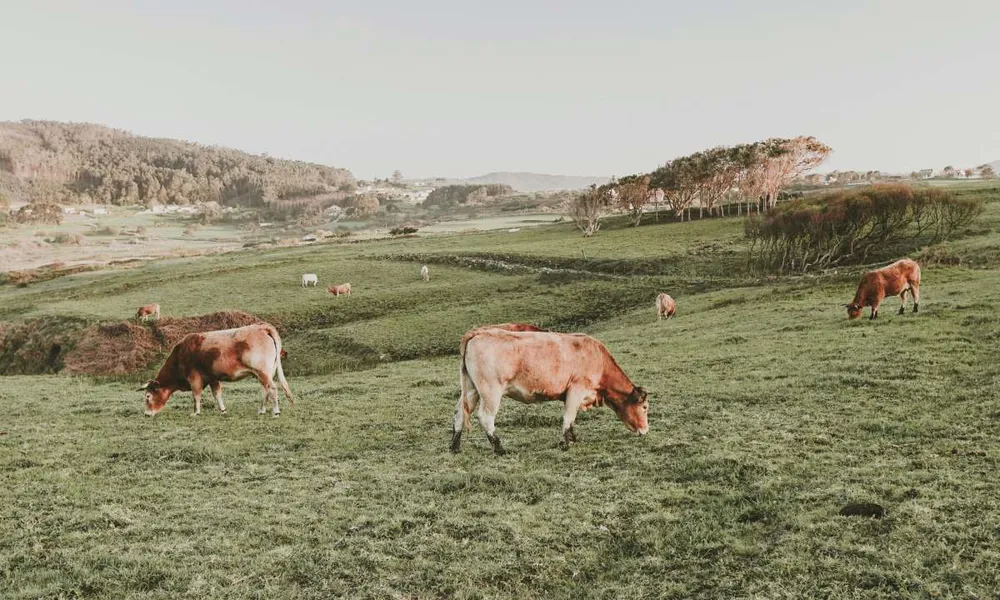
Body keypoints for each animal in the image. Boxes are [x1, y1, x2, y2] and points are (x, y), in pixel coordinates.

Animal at [137, 322, 293, 417]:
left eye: (148, 396)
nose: (146, 414)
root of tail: (262, 327)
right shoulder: (212, 378)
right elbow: (217, 394)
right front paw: (223, 410)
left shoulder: (194, 378)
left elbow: (196, 395)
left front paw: (196, 412)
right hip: (265, 374)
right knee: (265, 390)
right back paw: (261, 410)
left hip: (263, 372)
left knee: (273, 389)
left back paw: (275, 412)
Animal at [452, 329, 649, 454]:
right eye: (645, 407)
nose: (646, 430)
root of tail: (479, 333)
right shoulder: (576, 389)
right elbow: (568, 417)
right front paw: (565, 444)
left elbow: (572, 420)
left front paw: (573, 438)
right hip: (491, 391)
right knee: (486, 417)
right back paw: (500, 448)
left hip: (471, 389)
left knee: (459, 412)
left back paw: (455, 446)